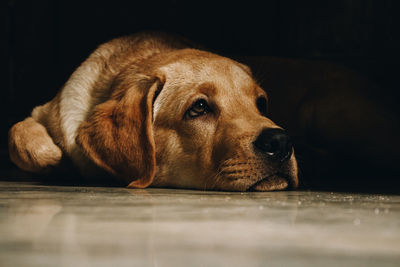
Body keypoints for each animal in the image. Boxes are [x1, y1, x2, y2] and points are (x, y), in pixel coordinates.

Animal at [7, 32, 298, 192]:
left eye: (261, 103)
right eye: (199, 107)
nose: (280, 142)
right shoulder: (44, 113)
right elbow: (20, 136)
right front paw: (55, 159)